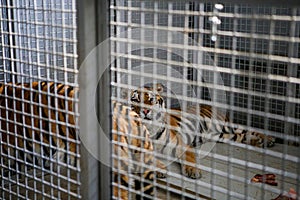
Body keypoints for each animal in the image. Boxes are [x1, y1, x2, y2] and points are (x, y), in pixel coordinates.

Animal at [130, 83, 276, 180]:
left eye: (151, 99)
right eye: (136, 100)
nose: (145, 111)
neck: (150, 130)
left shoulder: (180, 144)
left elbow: (189, 158)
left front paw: (193, 171)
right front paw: (159, 168)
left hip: (227, 125)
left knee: (248, 129)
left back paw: (268, 139)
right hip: (223, 136)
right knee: (241, 136)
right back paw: (258, 142)